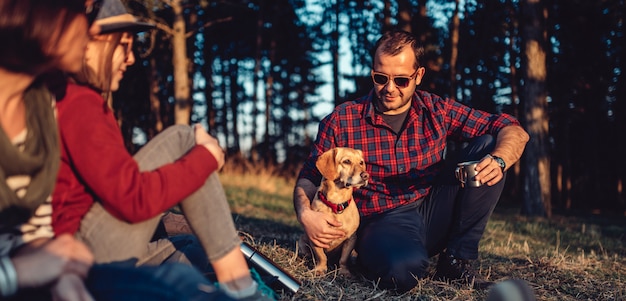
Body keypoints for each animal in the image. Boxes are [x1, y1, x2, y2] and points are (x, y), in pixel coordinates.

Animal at [300, 146, 368, 276]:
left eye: (361, 163)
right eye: (347, 161)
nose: (366, 176)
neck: (336, 204)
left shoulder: (351, 239)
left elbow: (343, 259)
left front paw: (344, 272)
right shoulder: (315, 237)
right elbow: (321, 256)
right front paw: (320, 269)